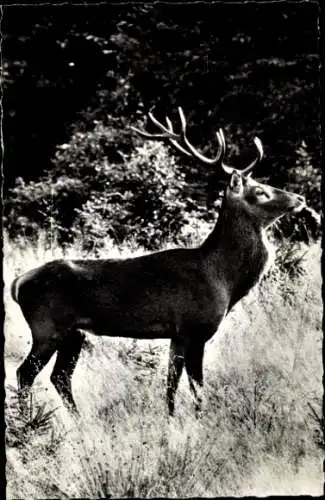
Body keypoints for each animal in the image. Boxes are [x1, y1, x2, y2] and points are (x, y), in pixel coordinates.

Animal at [10, 108, 308, 418]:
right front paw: (199, 420)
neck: (221, 278)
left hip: (74, 333)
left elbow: (170, 384)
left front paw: (171, 418)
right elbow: (197, 388)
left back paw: (78, 422)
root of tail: (17, 284)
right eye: (261, 191)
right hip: (47, 327)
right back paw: (28, 421)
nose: (300, 197)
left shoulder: (176, 334)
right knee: (25, 373)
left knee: (60, 376)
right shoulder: (195, 328)